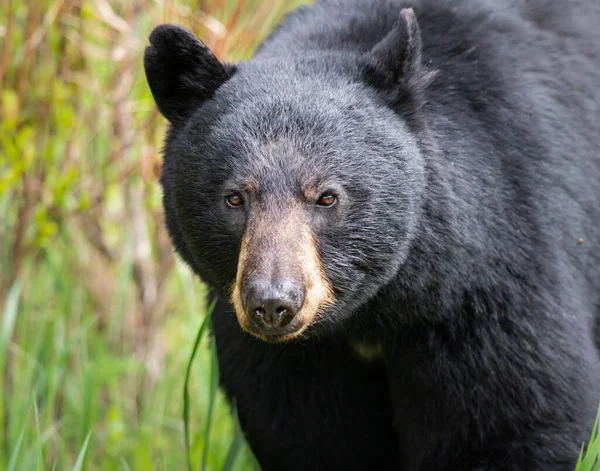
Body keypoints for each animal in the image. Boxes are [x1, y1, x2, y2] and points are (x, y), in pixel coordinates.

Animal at [144, 0, 600, 470]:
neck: (370, 316)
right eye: (235, 198)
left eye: (327, 196)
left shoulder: (491, 283)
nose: (272, 303)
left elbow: (518, 417)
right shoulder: (282, 359)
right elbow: (310, 437)